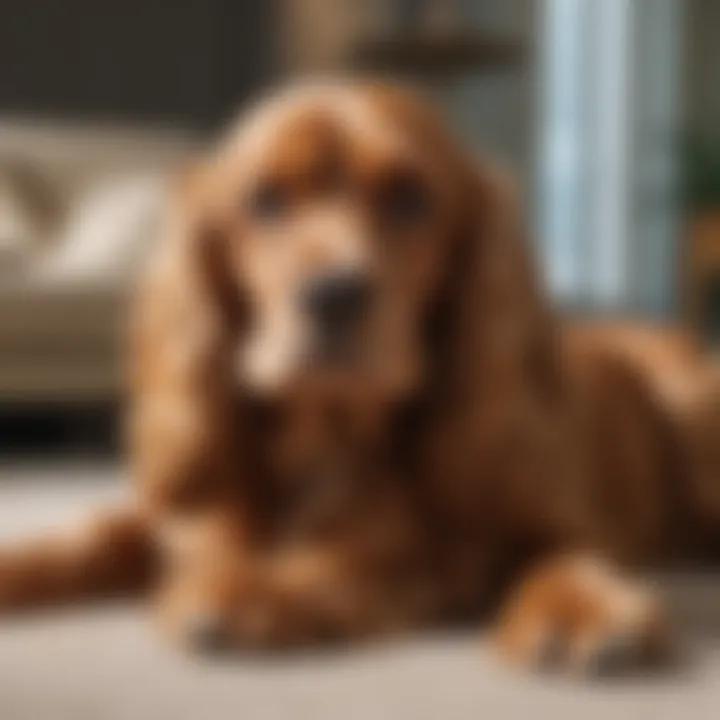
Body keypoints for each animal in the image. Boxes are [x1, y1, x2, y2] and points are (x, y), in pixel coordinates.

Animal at [1, 84, 720, 676]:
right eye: (265, 199)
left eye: (410, 199)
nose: (334, 296)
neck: (327, 434)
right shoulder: (174, 517)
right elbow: (84, 539)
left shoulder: (518, 518)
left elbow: (552, 553)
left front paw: (583, 610)